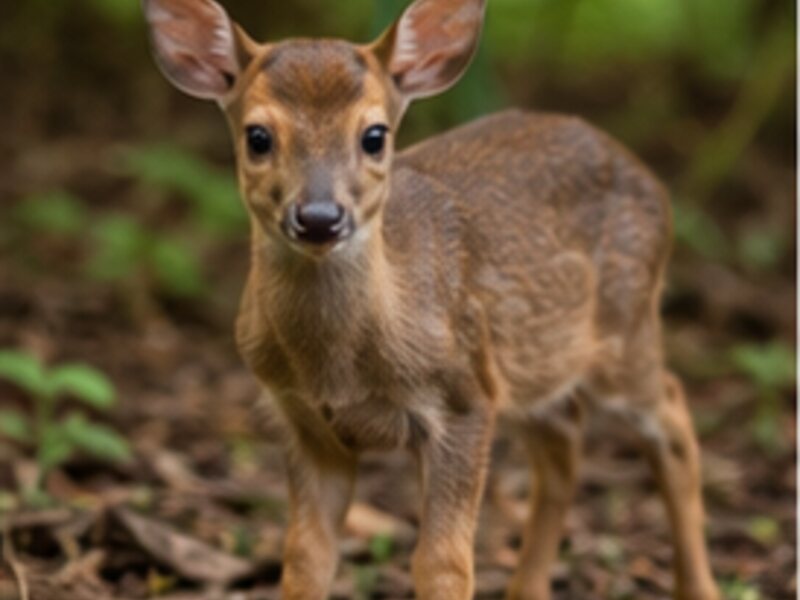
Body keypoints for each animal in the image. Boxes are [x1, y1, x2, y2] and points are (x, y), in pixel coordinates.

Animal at [141, 0, 719, 598]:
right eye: (257, 136)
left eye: (374, 135)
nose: (319, 217)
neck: (341, 367)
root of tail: (653, 182)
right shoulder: (303, 421)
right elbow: (305, 554)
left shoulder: (464, 398)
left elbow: (443, 561)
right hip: (533, 363)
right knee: (563, 448)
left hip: (626, 328)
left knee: (673, 414)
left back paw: (700, 586)